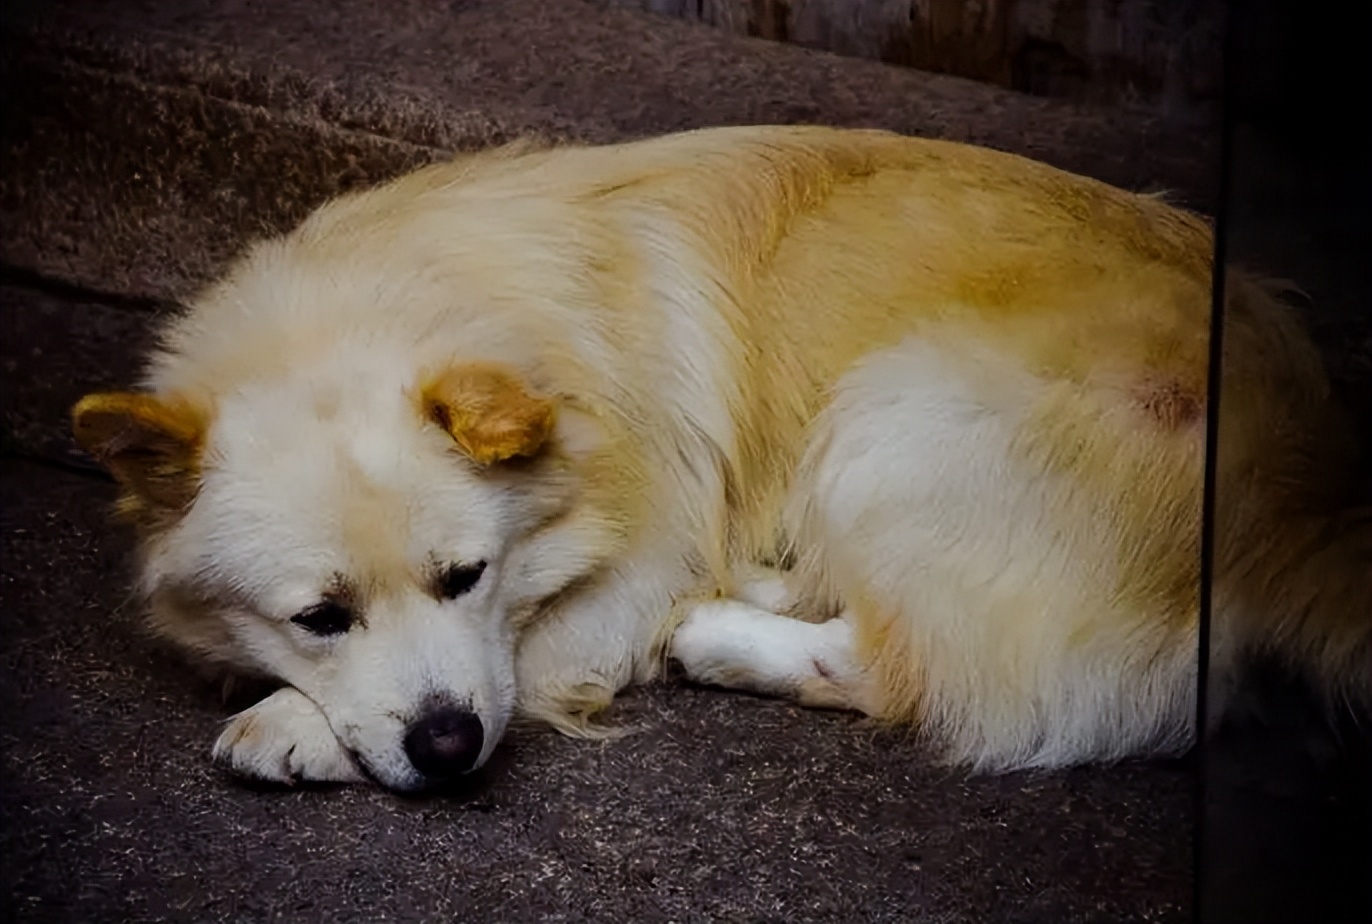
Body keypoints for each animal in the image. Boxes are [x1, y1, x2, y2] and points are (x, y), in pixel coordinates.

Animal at [75, 122, 1372, 790]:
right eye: (318, 617)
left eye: (467, 577)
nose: (446, 752)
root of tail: (1313, 491)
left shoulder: (625, 564)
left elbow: (526, 657)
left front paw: (292, 728)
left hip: (900, 406)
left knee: (905, 669)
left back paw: (722, 635)